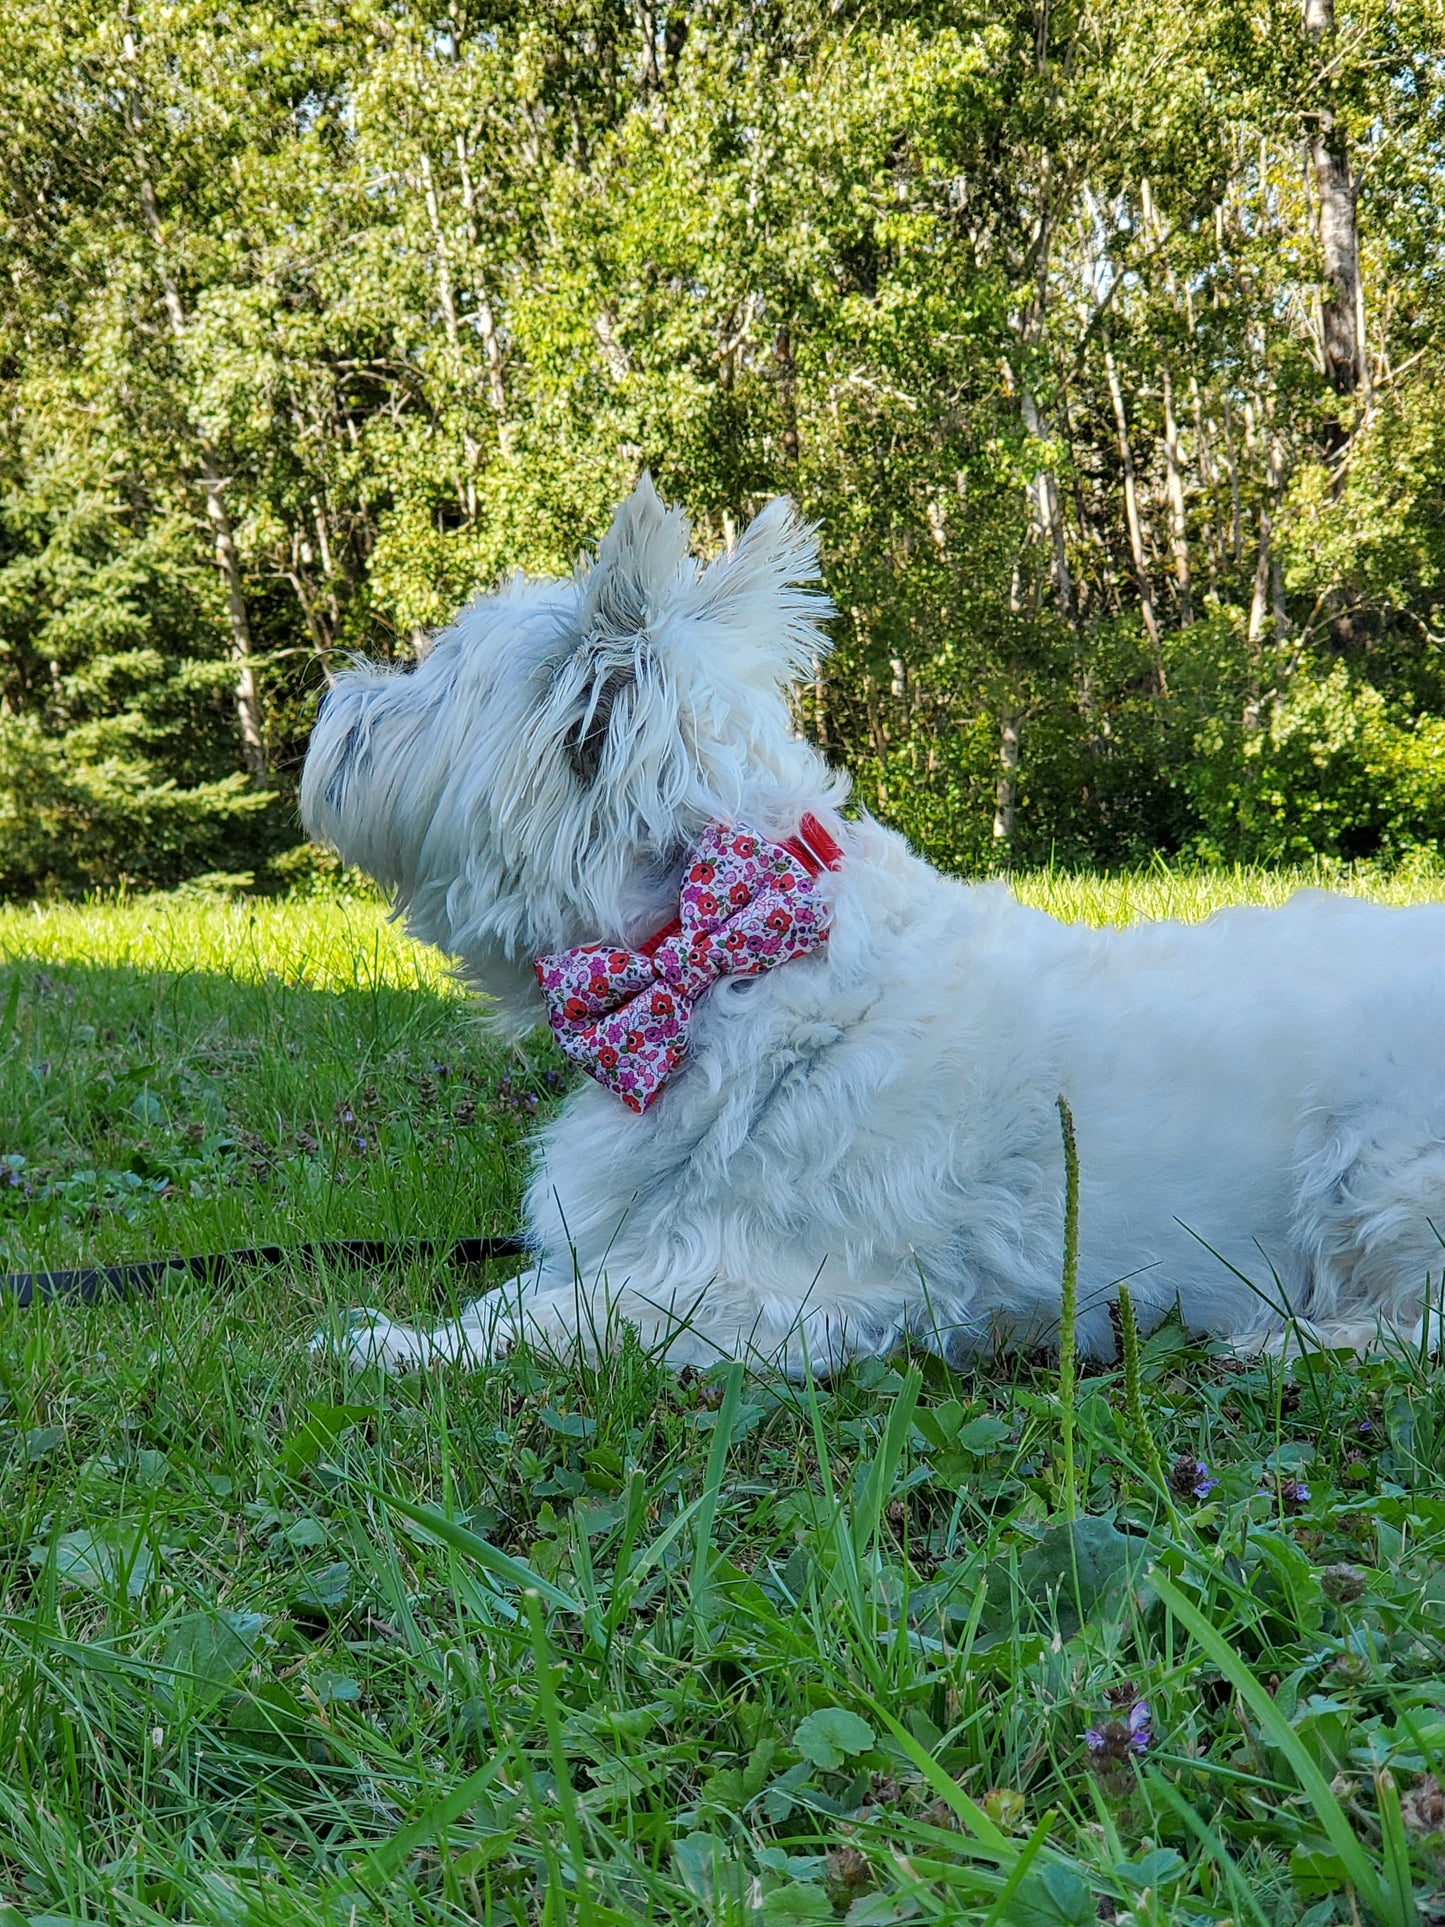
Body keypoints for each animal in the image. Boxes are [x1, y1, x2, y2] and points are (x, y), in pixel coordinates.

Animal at [300, 470, 1445, 1372]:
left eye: (433, 675)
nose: (334, 697)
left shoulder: (753, 1288)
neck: (721, 950)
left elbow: (543, 1323)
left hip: (1378, 1175)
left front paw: (385, 1347)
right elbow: (517, 1292)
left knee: (1417, 1325)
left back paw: (1299, 1337)